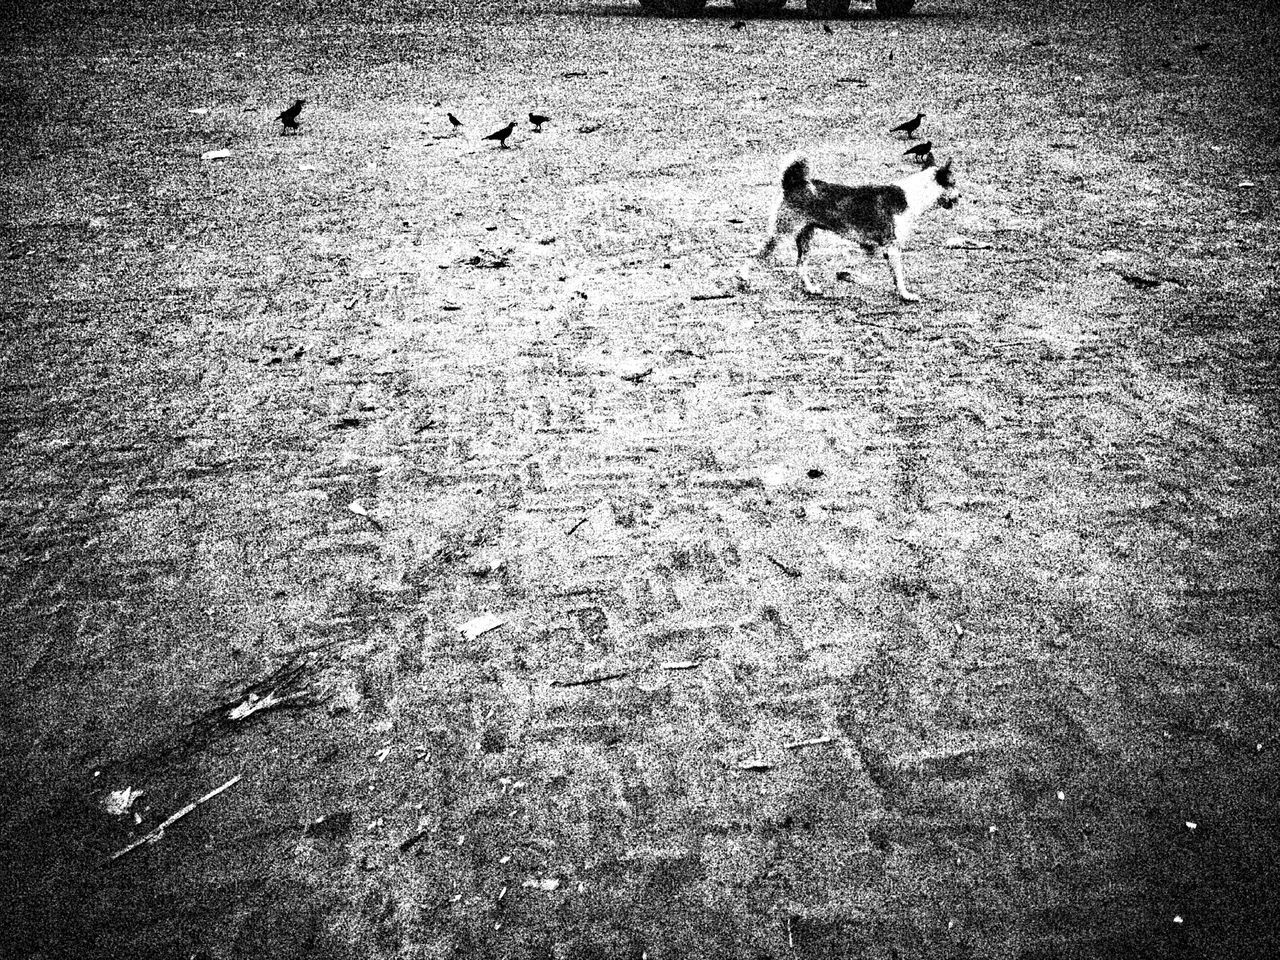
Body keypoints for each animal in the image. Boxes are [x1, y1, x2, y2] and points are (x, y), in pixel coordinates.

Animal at [747, 154, 957, 300]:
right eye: (954, 183)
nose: (960, 196)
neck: (912, 195)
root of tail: (793, 184)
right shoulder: (892, 248)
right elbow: (899, 277)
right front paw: (906, 295)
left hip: (805, 237)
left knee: (800, 266)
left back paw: (811, 289)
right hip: (781, 235)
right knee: (753, 256)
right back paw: (744, 280)